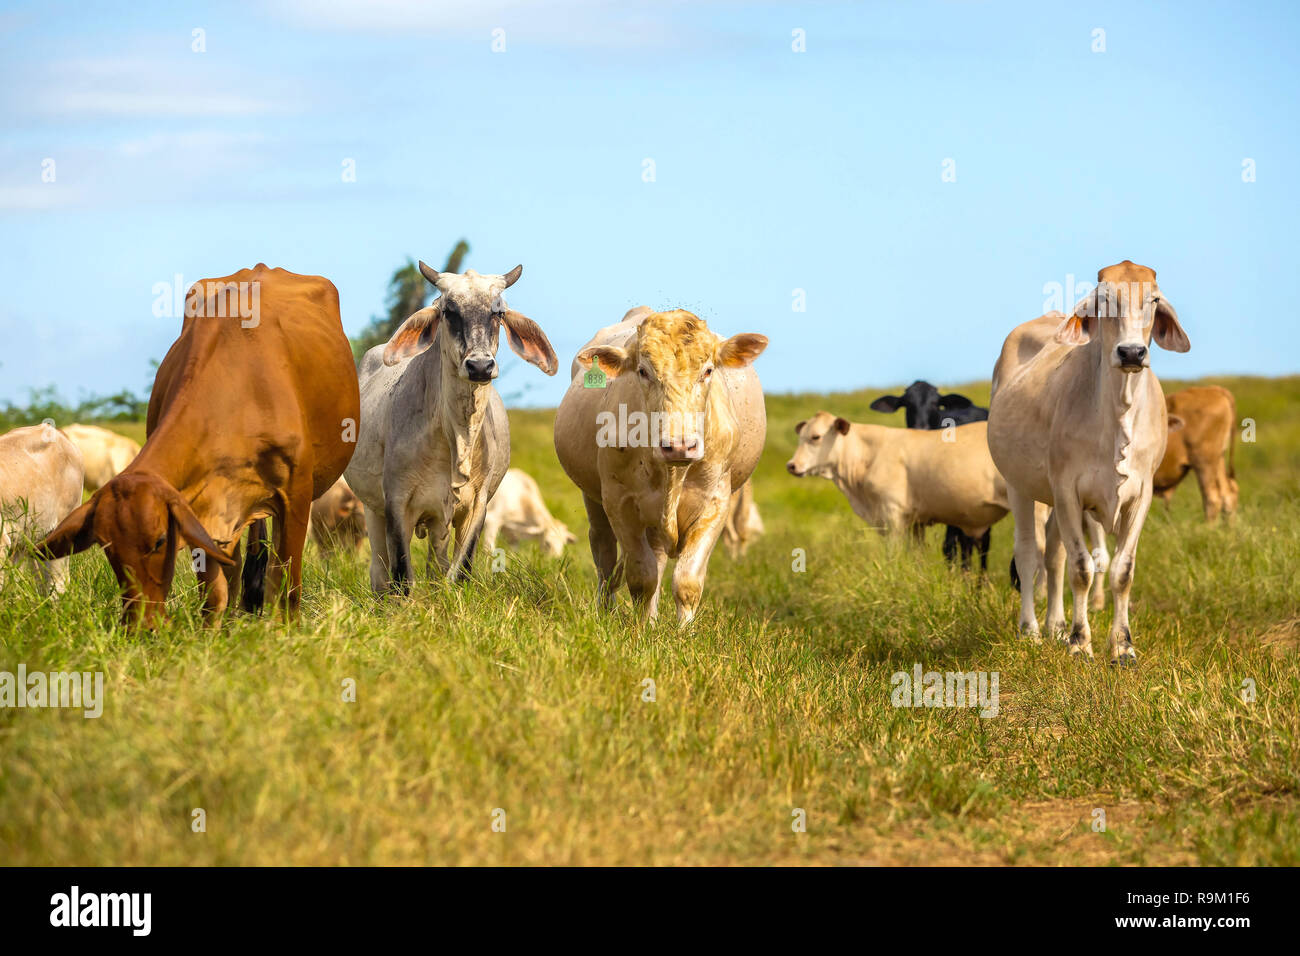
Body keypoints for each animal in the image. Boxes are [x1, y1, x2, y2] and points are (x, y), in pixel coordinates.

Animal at [38, 265, 360, 627]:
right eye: (107, 547)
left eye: (160, 541)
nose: (140, 626)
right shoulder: (202, 506)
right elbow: (216, 591)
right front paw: (215, 631)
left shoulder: (296, 496)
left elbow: (286, 583)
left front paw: (284, 630)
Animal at [346, 261, 558, 594]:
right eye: (449, 311)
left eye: (498, 313)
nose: (480, 366)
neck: (456, 436)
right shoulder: (396, 502)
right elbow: (402, 577)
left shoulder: (478, 506)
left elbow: (460, 571)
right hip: (372, 509)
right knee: (380, 573)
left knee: (437, 564)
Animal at [553, 308, 768, 624]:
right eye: (643, 371)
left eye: (708, 371)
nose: (679, 446)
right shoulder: (619, 502)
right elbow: (642, 577)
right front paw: (642, 629)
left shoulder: (715, 502)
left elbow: (687, 581)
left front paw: (684, 631)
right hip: (595, 501)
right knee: (605, 557)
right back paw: (608, 611)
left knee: (657, 557)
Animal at [871, 380, 992, 570]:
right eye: (907, 404)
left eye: (935, 404)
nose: (921, 429)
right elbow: (917, 547)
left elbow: (952, 546)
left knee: (980, 543)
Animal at [987, 260, 1190, 665]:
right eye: (1104, 300)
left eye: (1153, 299)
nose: (1131, 353)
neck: (1117, 413)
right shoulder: (1068, 491)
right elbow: (1082, 568)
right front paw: (1081, 643)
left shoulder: (1141, 495)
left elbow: (1121, 570)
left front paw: (1122, 646)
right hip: (1020, 486)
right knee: (1029, 554)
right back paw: (1031, 630)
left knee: (1053, 556)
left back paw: (1056, 626)